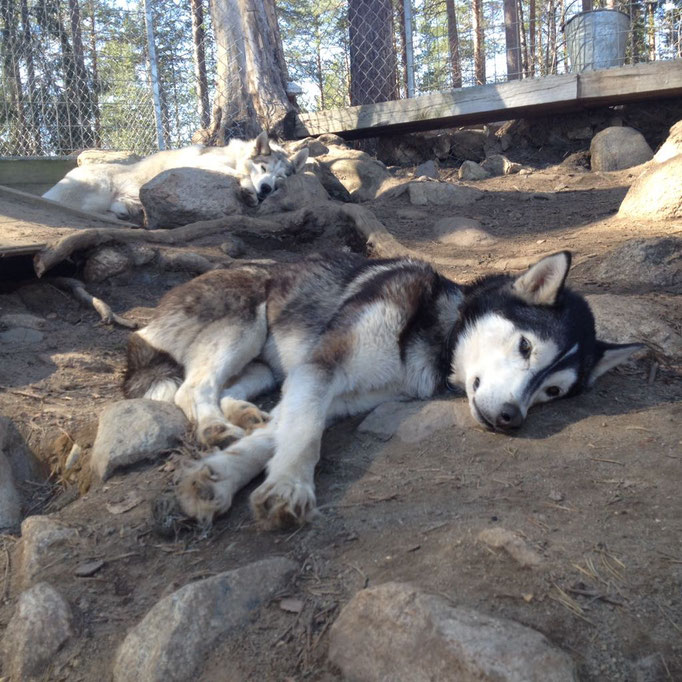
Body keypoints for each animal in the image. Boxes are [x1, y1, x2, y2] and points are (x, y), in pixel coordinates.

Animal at [42, 135, 308, 223]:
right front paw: (248, 191)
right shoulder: (203, 164)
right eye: (262, 167)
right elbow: (239, 174)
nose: (266, 189)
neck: (234, 157)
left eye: (280, 178)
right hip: (98, 192)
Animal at [123, 250, 644, 524]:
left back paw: (242, 416)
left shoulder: (336, 393)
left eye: (552, 392)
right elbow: (304, 435)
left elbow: (286, 431)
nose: (511, 419)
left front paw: (221, 476)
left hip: (266, 369)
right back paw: (213, 425)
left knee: (231, 389)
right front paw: (290, 485)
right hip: (244, 324)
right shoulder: (322, 369)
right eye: (524, 346)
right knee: (192, 388)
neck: (437, 328)